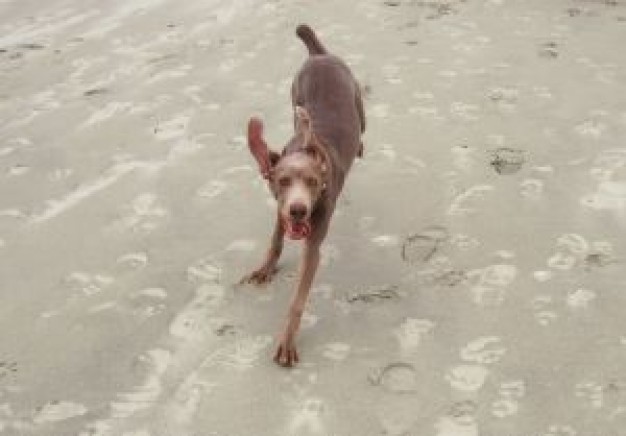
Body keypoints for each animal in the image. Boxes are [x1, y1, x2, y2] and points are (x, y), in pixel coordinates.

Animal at [240, 23, 366, 364]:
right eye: (282, 181)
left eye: (311, 181)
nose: (298, 210)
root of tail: (318, 54)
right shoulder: (279, 210)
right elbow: (275, 240)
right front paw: (265, 269)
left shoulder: (312, 245)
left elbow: (297, 300)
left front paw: (287, 341)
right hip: (294, 92)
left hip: (357, 98)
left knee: (363, 126)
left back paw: (361, 146)